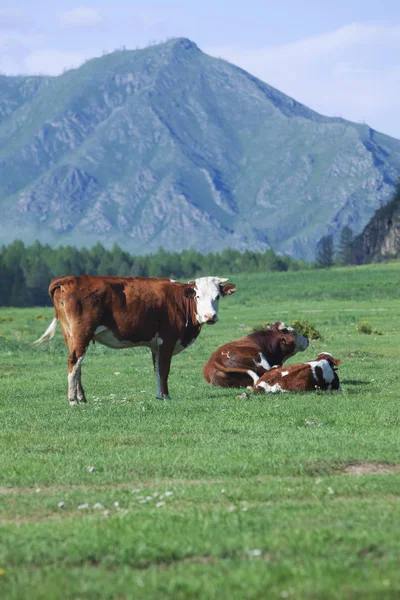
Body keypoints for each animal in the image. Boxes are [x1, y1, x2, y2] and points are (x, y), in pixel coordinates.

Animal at [34, 276, 236, 404]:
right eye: (198, 296)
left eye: (217, 296)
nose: (210, 316)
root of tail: (71, 279)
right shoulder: (167, 340)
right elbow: (164, 370)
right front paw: (166, 396)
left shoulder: (155, 345)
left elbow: (157, 370)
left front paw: (159, 395)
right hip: (82, 333)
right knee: (74, 362)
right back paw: (73, 400)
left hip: (70, 335)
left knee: (77, 365)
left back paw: (82, 398)